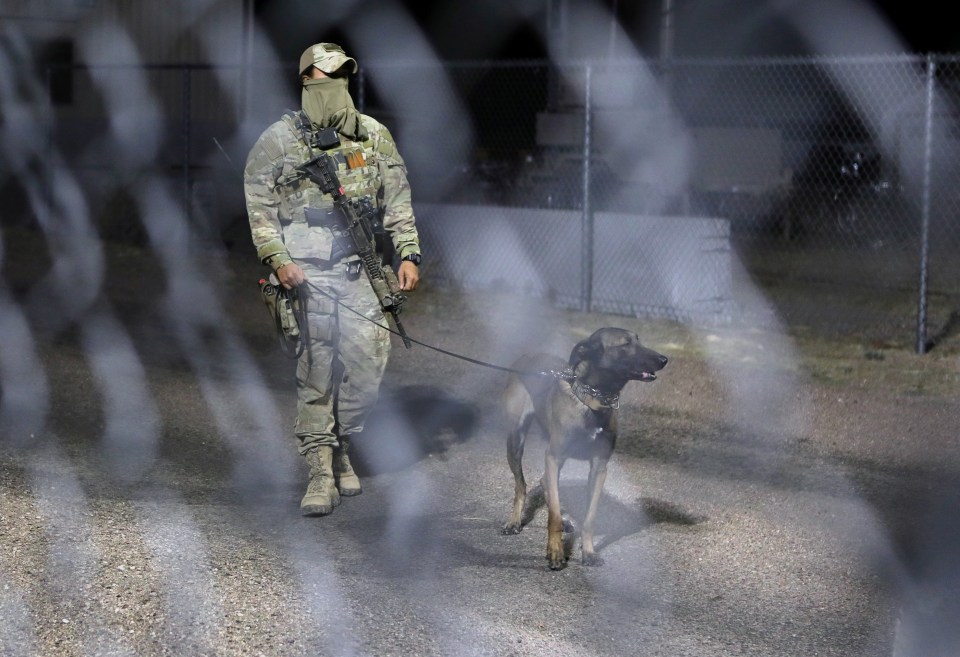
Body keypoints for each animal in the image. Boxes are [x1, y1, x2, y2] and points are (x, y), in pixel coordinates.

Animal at [502, 328, 668, 568]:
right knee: (521, 486)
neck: (594, 400)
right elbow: (552, 515)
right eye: (625, 344)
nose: (664, 359)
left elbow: (589, 517)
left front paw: (588, 551)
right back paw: (514, 521)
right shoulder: (555, 456)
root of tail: (526, 357)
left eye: (638, 340)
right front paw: (555, 551)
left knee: (544, 482)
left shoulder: (599, 467)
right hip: (516, 439)